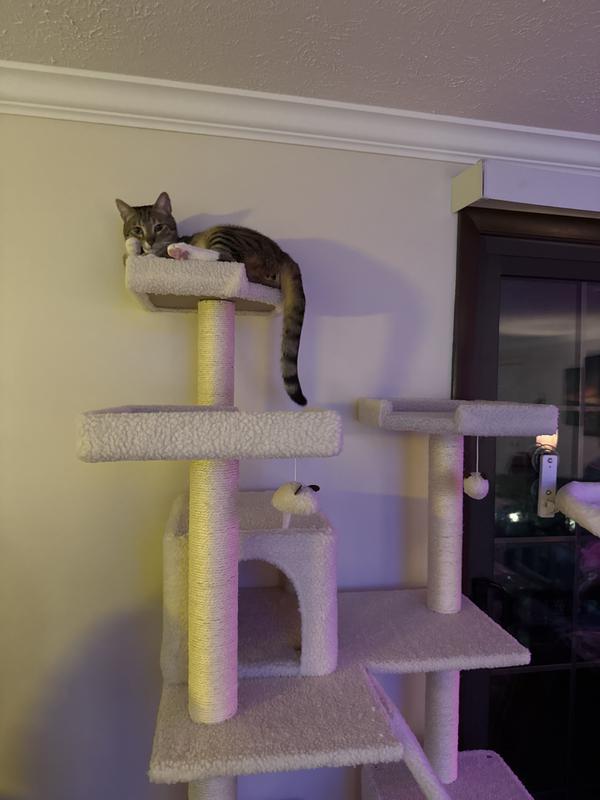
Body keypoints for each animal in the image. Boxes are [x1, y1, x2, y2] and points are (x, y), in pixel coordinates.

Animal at [116, 191, 307, 406]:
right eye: (137, 229)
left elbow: (141, 255)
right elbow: (131, 254)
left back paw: (181, 250)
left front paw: (141, 250)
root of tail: (282, 253)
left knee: (228, 258)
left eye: (159, 227)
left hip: (224, 233)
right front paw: (134, 245)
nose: (149, 241)